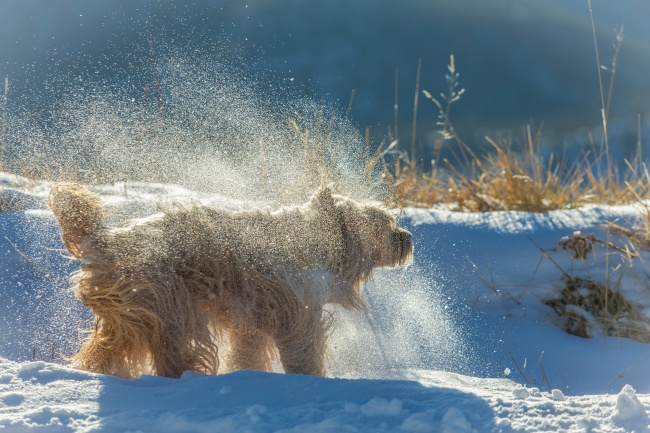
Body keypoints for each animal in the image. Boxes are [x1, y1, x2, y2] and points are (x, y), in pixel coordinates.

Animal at [46, 182, 410, 378]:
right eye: (383, 220)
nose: (407, 237)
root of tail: (106, 241)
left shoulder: (254, 309)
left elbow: (248, 344)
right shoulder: (292, 299)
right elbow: (301, 340)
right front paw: (308, 375)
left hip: (129, 305)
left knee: (112, 343)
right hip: (164, 293)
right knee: (176, 341)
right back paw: (186, 373)